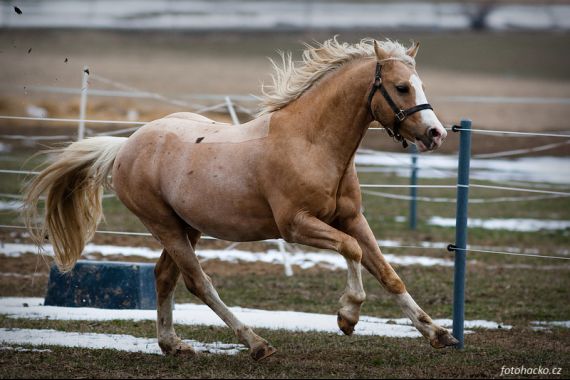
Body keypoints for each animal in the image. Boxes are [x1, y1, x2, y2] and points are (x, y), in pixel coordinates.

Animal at [24, 37, 454, 360]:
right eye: (401, 87)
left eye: (420, 84)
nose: (436, 134)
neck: (312, 144)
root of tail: (126, 145)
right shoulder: (296, 226)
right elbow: (353, 251)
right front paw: (347, 316)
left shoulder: (352, 219)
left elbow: (387, 272)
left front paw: (438, 334)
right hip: (165, 226)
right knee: (198, 282)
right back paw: (256, 343)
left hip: (187, 227)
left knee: (164, 276)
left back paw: (174, 345)